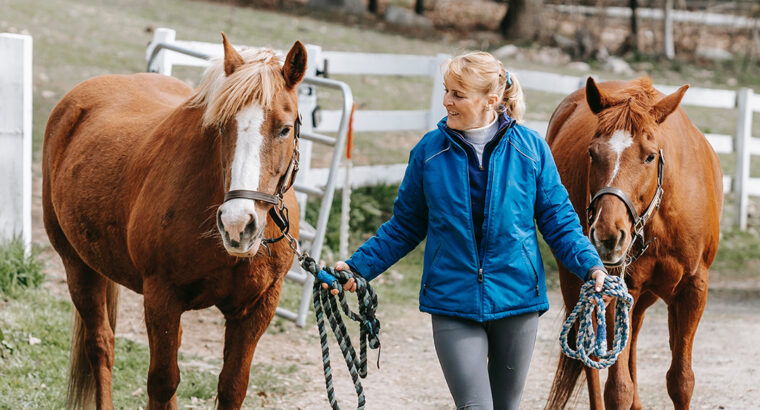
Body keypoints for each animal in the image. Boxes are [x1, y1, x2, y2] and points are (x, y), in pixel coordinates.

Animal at [43, 34, 306, 406]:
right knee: (100, 345)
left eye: (284, 129)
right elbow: (163, 382)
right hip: (78, 266)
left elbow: (232, 387)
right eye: (222, 126)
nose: (237, 225)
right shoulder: (161, 298)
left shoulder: (256, 309)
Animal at [548, 77, 720, 410]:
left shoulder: (694, 289)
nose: (607, 235)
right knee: (590, 361)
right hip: (576, 283)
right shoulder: (616, 286)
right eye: (592, 153)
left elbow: (681, 381)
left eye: (650, 156)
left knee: (635, 333)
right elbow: (618, 389)